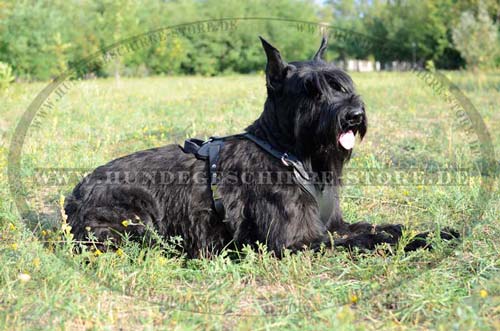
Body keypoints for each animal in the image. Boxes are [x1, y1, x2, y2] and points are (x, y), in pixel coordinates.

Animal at [64, 37, 456, 260]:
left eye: (341, 84)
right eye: (311, 92)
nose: (353, 115)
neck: (290, 153)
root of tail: (73, 196)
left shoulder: (333, 224)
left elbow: (384, 228)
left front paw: (436, 233)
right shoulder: (297, 241)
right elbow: (370, 240)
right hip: (140, 218)